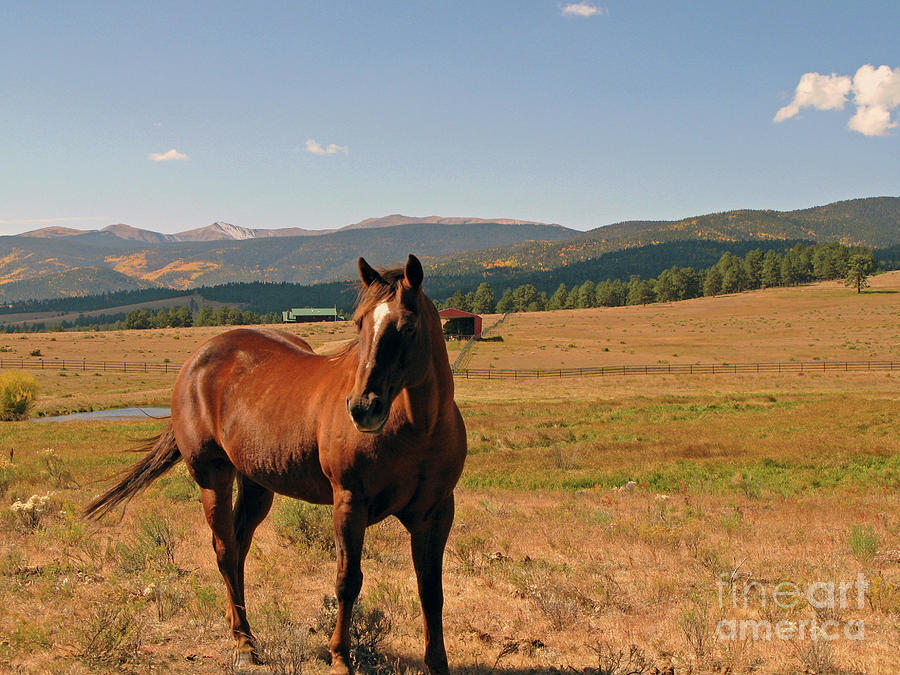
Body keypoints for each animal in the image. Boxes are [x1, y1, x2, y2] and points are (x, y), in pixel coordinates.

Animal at [84, 255, 468, 675]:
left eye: (408, 326)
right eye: (360, 324)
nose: (362, 407)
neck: (419, 429)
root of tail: (197, 360)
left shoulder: (435, 512)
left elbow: (431, 589)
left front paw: (438, 662)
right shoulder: (349, 503)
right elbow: (347, 581)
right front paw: (340, 657)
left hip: (256, 484)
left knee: (238, 548)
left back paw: (237, 626)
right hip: (212, 477)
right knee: (225, 550)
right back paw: (243, 644)